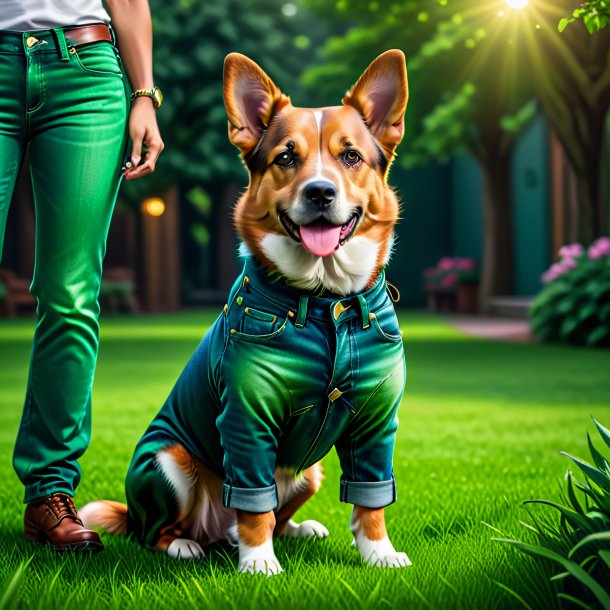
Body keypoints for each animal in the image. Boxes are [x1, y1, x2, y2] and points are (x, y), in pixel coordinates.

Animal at [81, 50, 410, 572]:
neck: (325, 300)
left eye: (351, 156)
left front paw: (379, 553)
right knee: (157, 531)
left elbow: (370, 498)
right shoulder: (245, 416)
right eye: (286, 157)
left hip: (310, 470)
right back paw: (187, 544)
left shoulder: (377, 420)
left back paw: (296, 529)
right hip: (168, 460)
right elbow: (253, 503)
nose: (320, 192)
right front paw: (259, 565)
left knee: (274, 514)